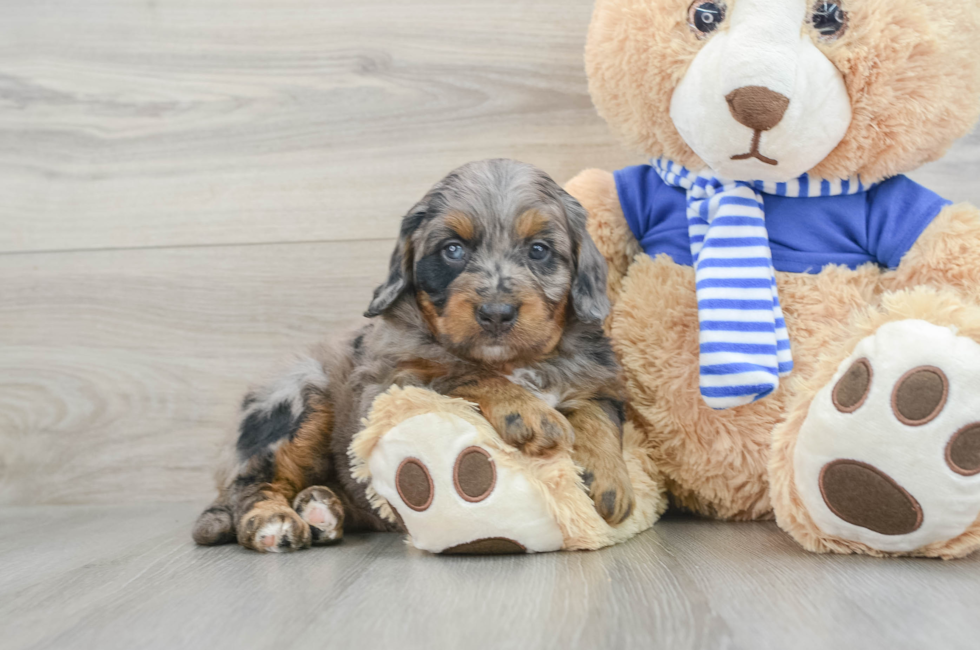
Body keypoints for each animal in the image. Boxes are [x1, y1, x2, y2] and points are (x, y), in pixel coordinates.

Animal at [193, 159, 636, 548]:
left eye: (539, 250)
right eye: (453, 250)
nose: (496, 312)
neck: (513, 360)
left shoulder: (599, 379)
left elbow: (599, 414)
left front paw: (610, 480)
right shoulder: (386, 386)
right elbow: (458, 372)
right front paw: (528, 412)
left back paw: (322, 511)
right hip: (298, 399)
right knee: (253, 483)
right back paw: (273, 521)